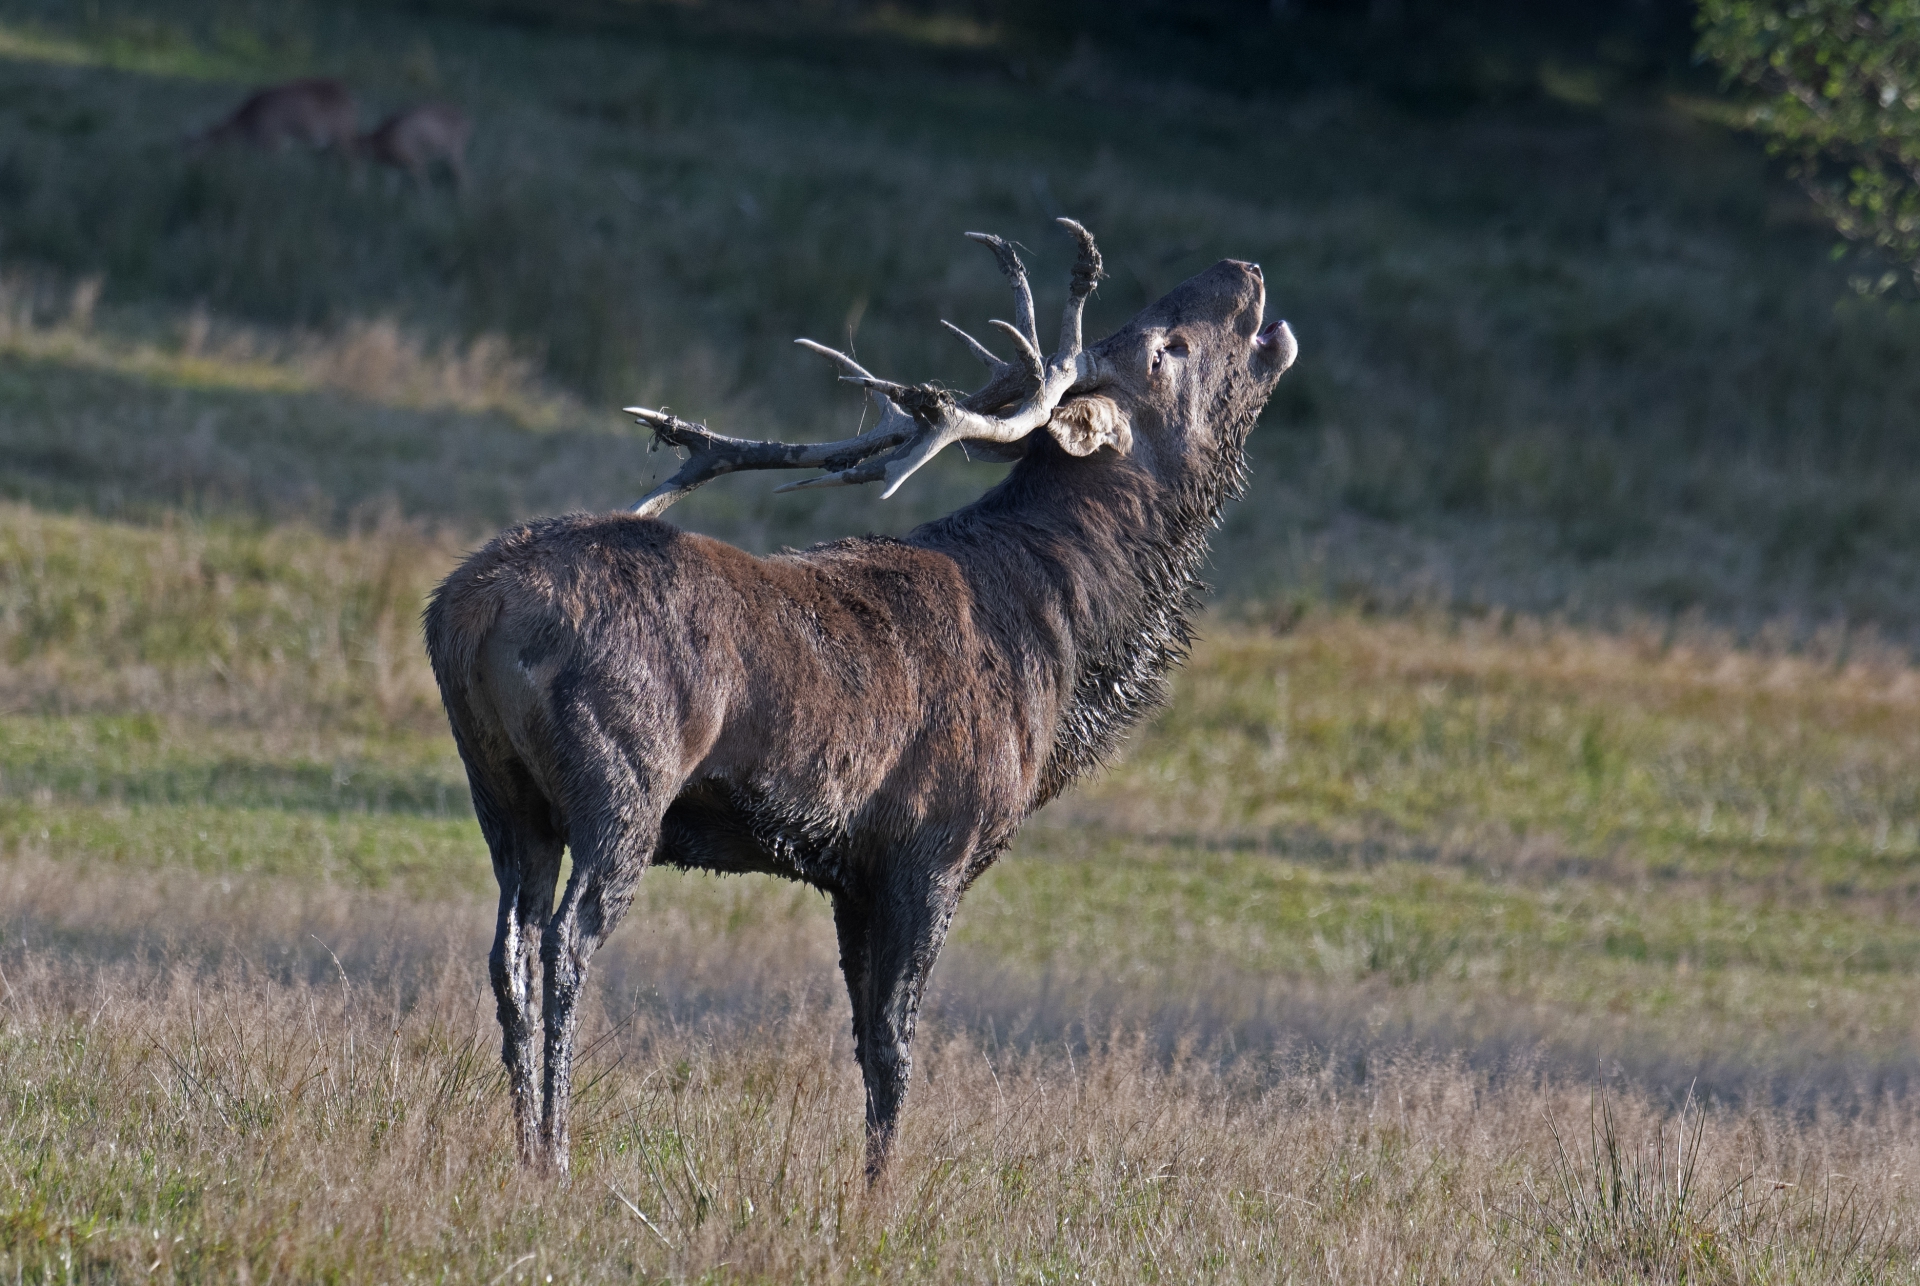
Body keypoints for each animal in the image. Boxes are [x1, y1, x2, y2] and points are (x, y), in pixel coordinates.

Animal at [430, 216, 1305, 1182]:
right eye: (1165, 347)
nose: (1244, 267)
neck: (1061, 655)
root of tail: (465, 610)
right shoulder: (934, 843)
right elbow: (895, 1045)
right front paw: (880, 1189)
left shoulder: (851, 869)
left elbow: (861, 1038)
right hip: (621, 783)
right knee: (564, 943)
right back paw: (556, 1153)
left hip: (503, 791)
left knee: (508, 950)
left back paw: (523, 1147)